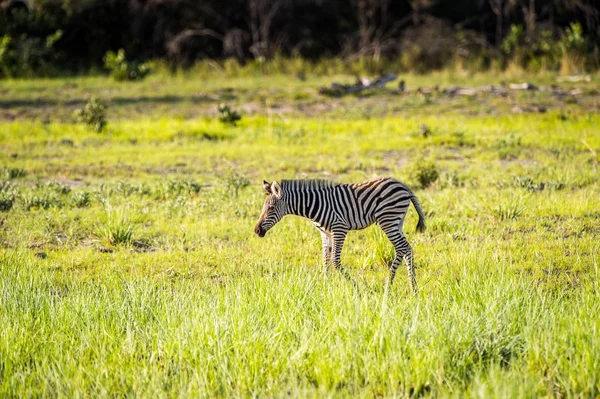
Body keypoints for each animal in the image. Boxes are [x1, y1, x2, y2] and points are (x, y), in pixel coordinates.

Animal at [254, 178, 426, 294]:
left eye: (270, 208)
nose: (256, 230)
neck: (314, 205)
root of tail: (403, 185)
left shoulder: (339, 228)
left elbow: (335, 261)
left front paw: (357, 288)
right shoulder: (325, 233)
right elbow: (325, 261)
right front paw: (325, 288)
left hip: (388, 219)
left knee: (402, 247)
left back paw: (391, 285)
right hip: (397, 221)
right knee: (406, 249)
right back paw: (412, 287)